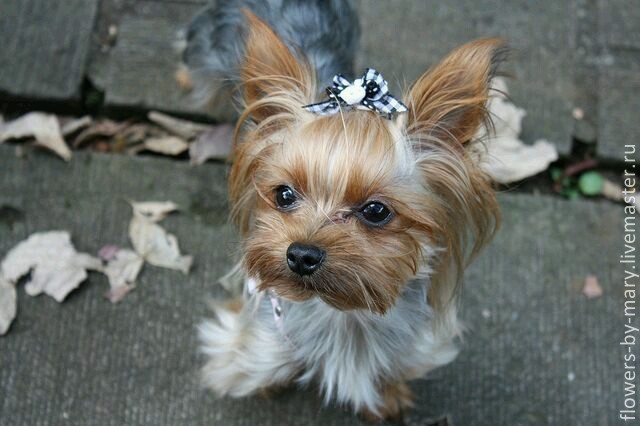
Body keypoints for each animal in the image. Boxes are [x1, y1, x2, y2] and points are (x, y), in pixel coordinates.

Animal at [183, 1, 506, 420]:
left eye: (376, 210)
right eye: (283, 195)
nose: (301, 255)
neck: (342, 312)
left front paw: (387, 397)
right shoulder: (254, 337)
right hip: (207, 50)